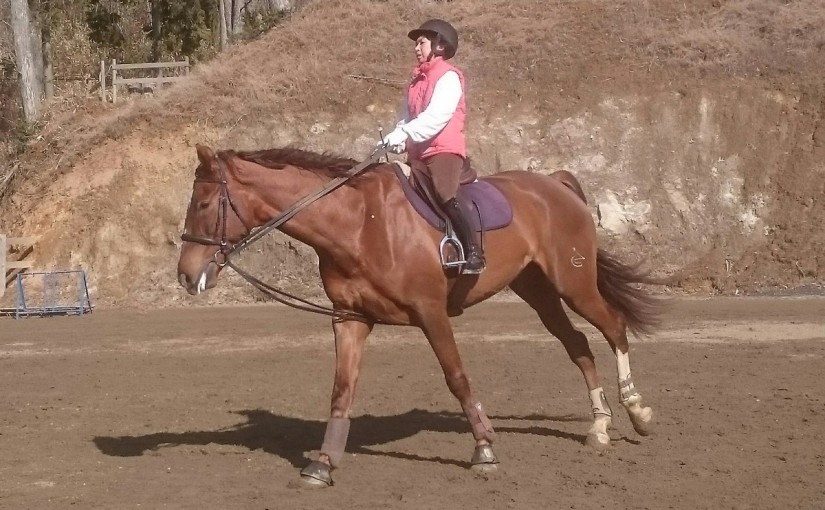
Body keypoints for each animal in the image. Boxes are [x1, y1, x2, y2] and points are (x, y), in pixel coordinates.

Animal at [176, 144, 662, 487]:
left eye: (203, 204)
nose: (185, 275)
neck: (359, 224)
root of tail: (554, 184)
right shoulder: (350, 319)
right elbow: (342, 390)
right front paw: (324, 463)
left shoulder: (432, 314)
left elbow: (457, 378)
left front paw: (484, 449)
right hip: (538, 291)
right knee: (578, 344)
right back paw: (599, 427)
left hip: (573, 285)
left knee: (614, 328)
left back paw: (637, 411)